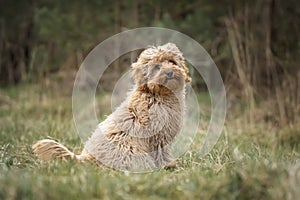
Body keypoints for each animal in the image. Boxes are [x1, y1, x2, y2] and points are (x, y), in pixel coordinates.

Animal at [32, 43, 191, 171]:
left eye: (172, 61)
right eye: (157, 67)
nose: (169, 72)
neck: (159, 94)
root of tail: (85, 158)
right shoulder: (158, 136)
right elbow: (161, 152)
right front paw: (168, 165)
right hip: (131, 150)